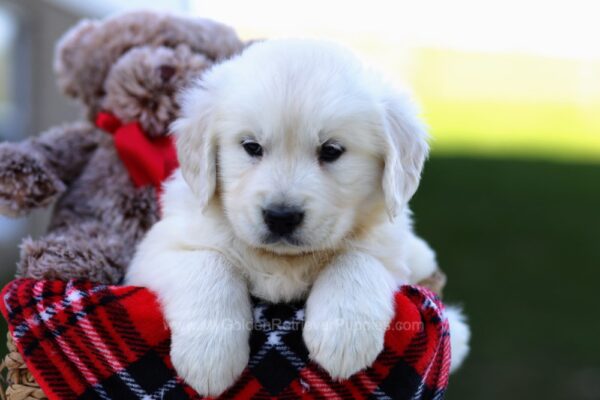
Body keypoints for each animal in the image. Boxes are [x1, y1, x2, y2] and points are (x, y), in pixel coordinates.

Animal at [126, 39, 468, 396]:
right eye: (251, 146)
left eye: (331, 150)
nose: (281, 217)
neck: (282, 261)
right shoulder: (158, 249)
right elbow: (208, 263)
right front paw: (209, 354)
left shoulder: (390, 249)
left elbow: (357, 258)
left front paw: (344, 335)